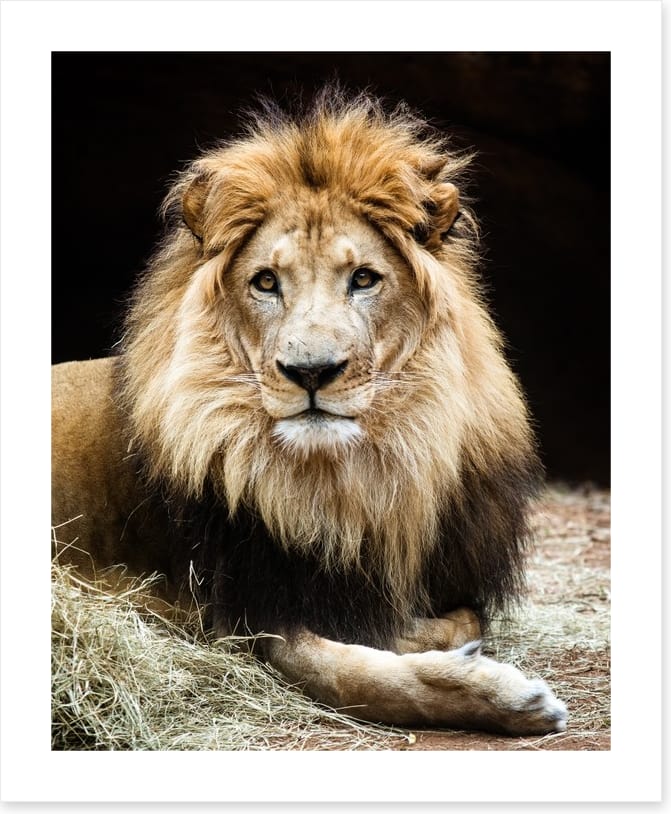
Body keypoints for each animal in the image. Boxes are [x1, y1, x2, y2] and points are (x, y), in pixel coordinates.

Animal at [52, 89, 567, 736]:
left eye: (364, 279)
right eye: (266, 282)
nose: (312, 371)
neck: (344, 483)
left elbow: (457, 616)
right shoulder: (240, 610)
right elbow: (351, 674)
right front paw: (501, 695)